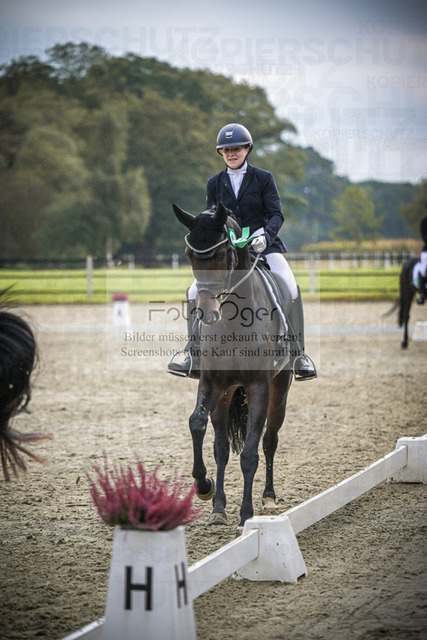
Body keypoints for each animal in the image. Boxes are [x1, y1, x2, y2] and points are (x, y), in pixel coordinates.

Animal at [172, 202, 294, 532]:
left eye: (223, 253)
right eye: (189, 255)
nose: (207, 313)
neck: (234, 319)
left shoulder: (259, 386)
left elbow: (251, 452)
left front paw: (247, 516)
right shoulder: (212, 382)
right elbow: (197, 424)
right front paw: (204, 486)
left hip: (279, 389)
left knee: (270, 440)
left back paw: (268, 497)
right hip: (227, 394)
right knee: (222, 446)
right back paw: (218, 508)